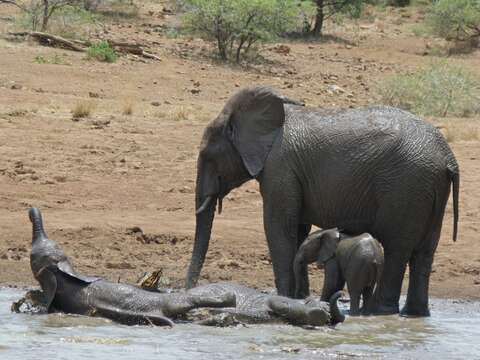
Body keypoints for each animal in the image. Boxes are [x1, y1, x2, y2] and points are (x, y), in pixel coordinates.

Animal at [186, 86, 460, 316]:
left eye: (207, 155)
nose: (187, 290)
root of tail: (448, 158)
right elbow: (297, 229)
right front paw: (298, 298)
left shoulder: (280, 166)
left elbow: (278, 227)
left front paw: (286, 296)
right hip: (428, 188)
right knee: (424, 253)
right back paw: (414, 315)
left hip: (407, 187)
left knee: (397, 249)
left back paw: (382, 313)